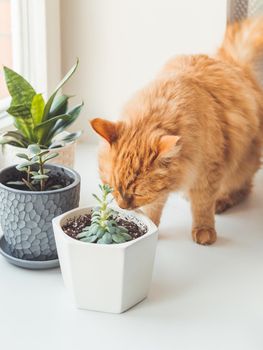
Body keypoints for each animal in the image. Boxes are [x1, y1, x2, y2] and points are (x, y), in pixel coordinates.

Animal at [90, 17, 263, 245]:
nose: (122, 206)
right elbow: (154, 209)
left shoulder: (208, 172)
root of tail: (236, 66)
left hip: (240, 167)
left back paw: (221, 201)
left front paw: (204, 231)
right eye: (112, 186)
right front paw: (152, 228)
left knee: (242, 189)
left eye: (137, 193)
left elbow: (202, 207)